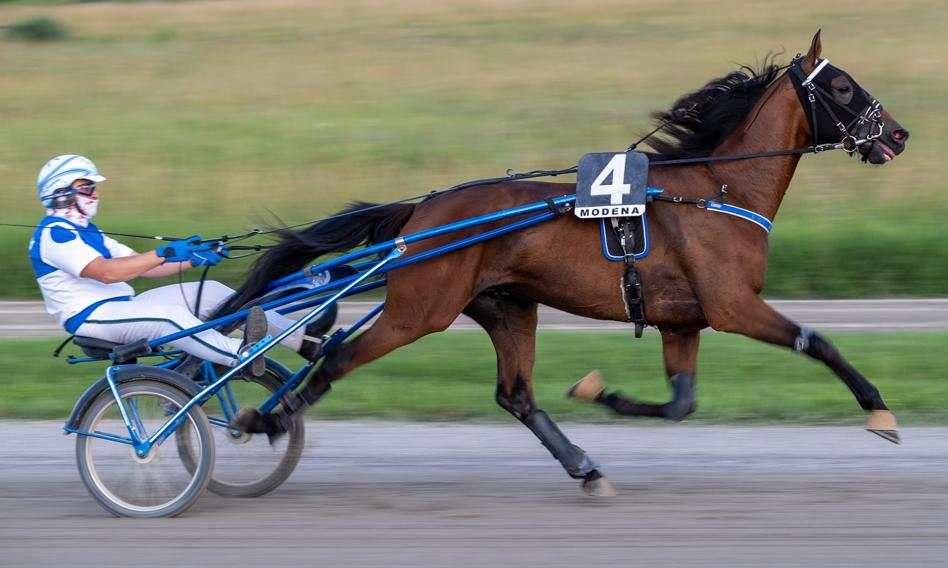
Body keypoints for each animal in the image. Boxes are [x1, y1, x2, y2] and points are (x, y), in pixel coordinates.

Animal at [226, 31, 908, 494]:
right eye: (842, 86)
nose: (898, 134)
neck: (718, 189)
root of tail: (423, 211)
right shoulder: (732, 304)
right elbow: (817, 342)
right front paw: (879, 409)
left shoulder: (682, 321)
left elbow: (680, 403)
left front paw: (601, 392)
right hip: (420, 309)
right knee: (338, 358)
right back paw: (264, 419)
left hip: (507, 306)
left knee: (516, 395)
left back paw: (585, 466)